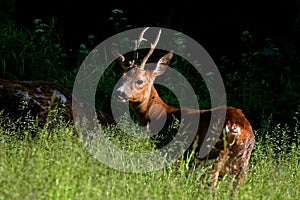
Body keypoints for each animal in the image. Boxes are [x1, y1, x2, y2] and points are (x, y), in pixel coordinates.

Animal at [113, 27, 254, 196]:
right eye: (123, 77)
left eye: (140, 80)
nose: (119, 93)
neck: (164, 116)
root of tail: (238, 128)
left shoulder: (173, 153)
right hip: (242, 161)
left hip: (212, 154)